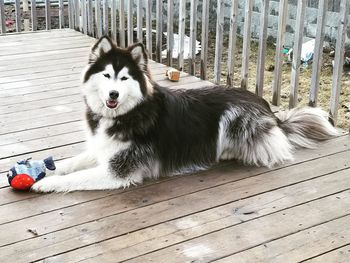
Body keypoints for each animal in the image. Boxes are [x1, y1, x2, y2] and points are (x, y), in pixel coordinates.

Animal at [31, 37, 338, 193]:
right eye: (107, 75)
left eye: (125, 78)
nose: (113, 95)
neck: (129, 113)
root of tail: (269, 111)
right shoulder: (103, 148)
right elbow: (72, 163)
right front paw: (46, 168)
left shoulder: (119, 171)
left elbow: (76, 178)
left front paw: (46, 183)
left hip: (234, 118)